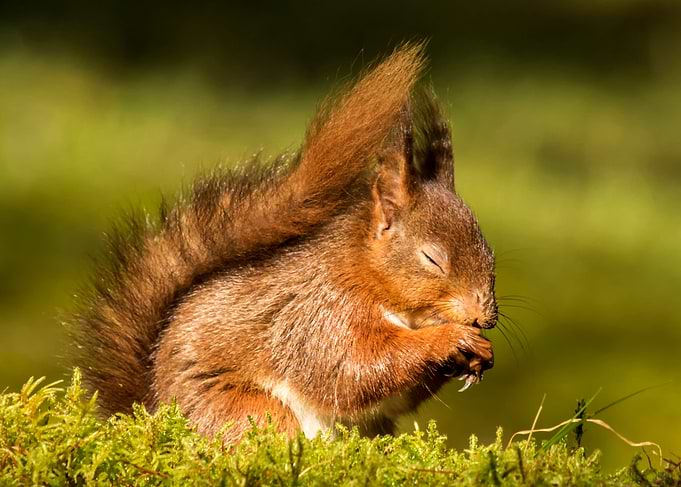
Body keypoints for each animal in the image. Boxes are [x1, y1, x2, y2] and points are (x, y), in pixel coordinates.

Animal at [73, 44, 497, 442]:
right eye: (432, 258)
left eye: (490, 253)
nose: (484, 317)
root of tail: (153, 413)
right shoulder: (322, 314)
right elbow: (352, 369)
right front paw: (451, 339)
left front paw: (478, 355)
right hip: (248, 410)